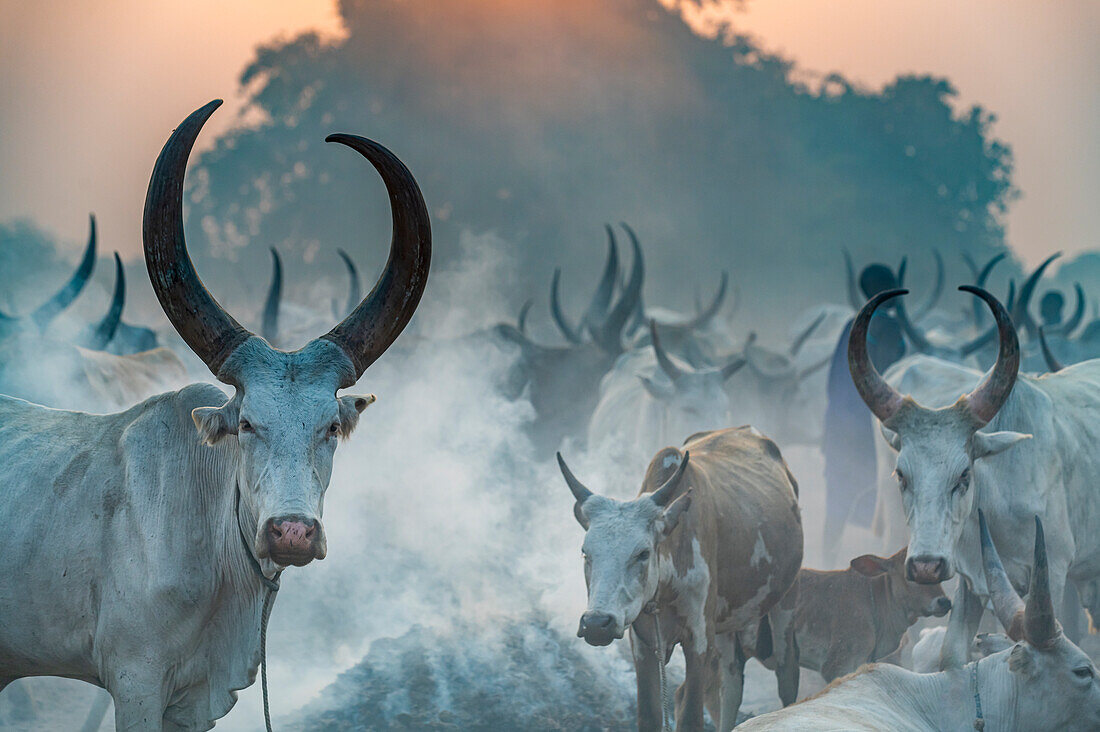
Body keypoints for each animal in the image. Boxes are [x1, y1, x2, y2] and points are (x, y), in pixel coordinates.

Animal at [558, 424, 800, 726]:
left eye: (643, 553)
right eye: (585, 553)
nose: (596, 623)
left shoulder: (698, 639)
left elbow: (690, 715)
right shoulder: (642, 644)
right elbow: (650, 716)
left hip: (785, 603)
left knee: (786, 676)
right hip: (725, 624)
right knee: (731, 686)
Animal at [849, 283, 1100, 669]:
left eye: (964, 474)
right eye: (901, 474)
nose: (926, 566)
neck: (999, 502)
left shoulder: (1054, 573)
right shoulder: (970, 580)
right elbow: (951, 654)